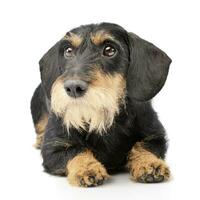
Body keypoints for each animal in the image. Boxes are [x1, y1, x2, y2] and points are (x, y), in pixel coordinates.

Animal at [30, 22, 172, 187]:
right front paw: (87, 168)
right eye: (68, 51)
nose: (73, 87)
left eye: (110, 50)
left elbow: (143, 146)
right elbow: (76, 151)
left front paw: (150, 164)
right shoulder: (53, 148)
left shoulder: (156, 136)